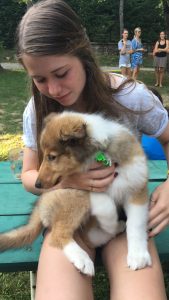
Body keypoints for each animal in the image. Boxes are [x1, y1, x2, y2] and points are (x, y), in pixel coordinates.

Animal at [0, 111, 151, 276]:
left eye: (51, 157)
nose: (37, 185)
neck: (100, 155)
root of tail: (40, 205)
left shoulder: (136, 188)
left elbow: (135, 223)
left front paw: (138, 256)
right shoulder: (88, 187)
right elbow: (107, 206)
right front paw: (111, 224)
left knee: (89, 237)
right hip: (72, 196)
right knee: (59, 235)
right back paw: (82, 258)